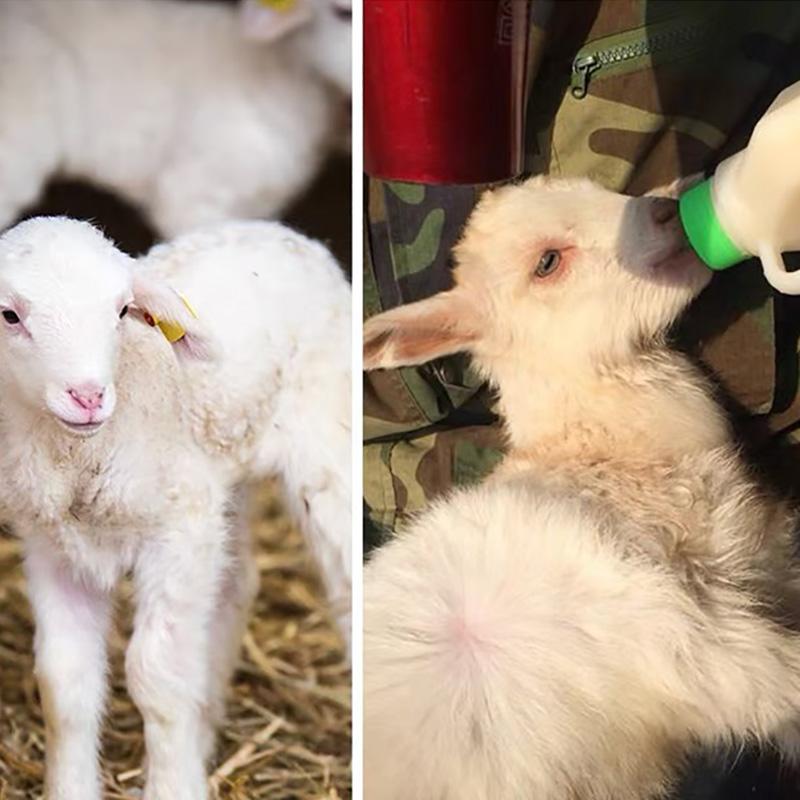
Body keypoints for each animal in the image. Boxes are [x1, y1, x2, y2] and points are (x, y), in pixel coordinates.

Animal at [0, 215, 350, 800]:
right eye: (10, 315)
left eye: (122, 311)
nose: (88, 396)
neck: (80, 457)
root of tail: (286, 233)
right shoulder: (51, 547)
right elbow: (64, 686)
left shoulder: (178, 533)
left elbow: (156, 678)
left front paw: (171, 785)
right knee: (234, 586)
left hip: (323, 448)